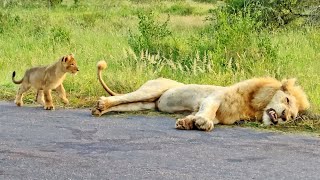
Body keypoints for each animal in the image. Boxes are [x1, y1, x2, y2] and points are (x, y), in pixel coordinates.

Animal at [92, 60, 310, 131]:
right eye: (287, 99)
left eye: (293, 116)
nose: (285, 117)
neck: (253, 106)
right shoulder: (214, 98)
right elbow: (208, 110)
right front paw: (203, 123)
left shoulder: (223, 115)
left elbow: (200, 115)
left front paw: (187, 122)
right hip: (151, 90)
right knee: (123, 97)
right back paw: (101, 104)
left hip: (146, 104)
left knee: (125, 104)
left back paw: (100, 108)